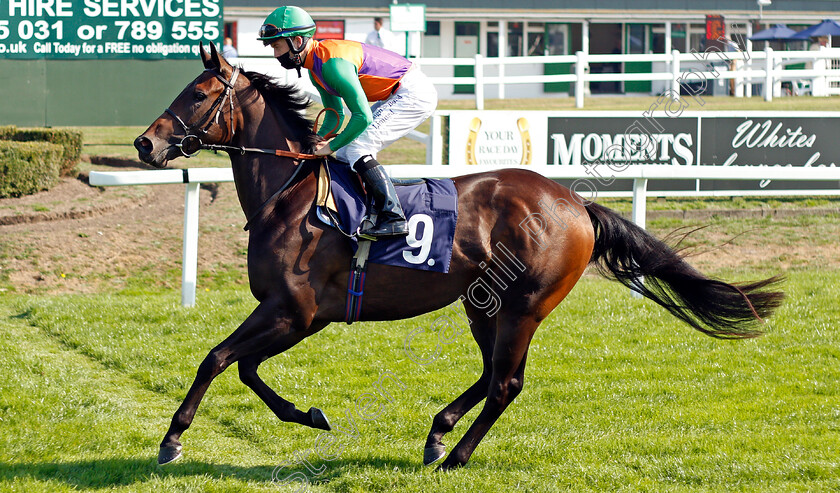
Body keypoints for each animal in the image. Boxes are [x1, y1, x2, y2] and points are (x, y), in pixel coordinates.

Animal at [135, 44, 784, 470]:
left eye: (198, 92)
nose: (145, 142)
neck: (290, 194)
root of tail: (575, 202)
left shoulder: (294, 312)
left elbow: (217, 359)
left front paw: (172, 440)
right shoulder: (293, 315)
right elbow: (242, 366)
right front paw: (309, 415)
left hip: (524, 305)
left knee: (506, 383)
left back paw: (455, 455)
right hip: (483, 304)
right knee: (492, 372)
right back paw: (438, 433)